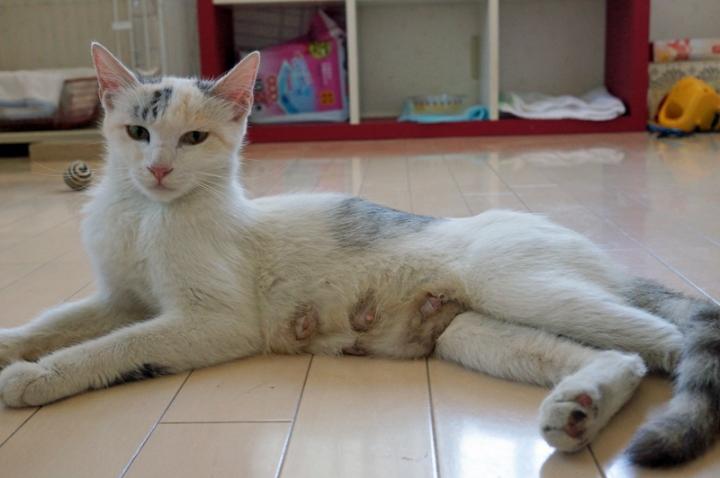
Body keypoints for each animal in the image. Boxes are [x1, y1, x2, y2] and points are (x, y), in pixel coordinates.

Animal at [0, 42, 718, 468]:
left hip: (520, 285)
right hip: (474, 332)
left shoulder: (213, 321)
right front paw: (14, 346)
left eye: (195, 139)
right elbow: (58, 321)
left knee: (665, 338)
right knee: (621, 356)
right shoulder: (120, 296)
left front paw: (37, 377)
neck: (146, 217)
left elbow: (118, 346)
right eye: (137, 132)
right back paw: (577, 412)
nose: (156, 170)